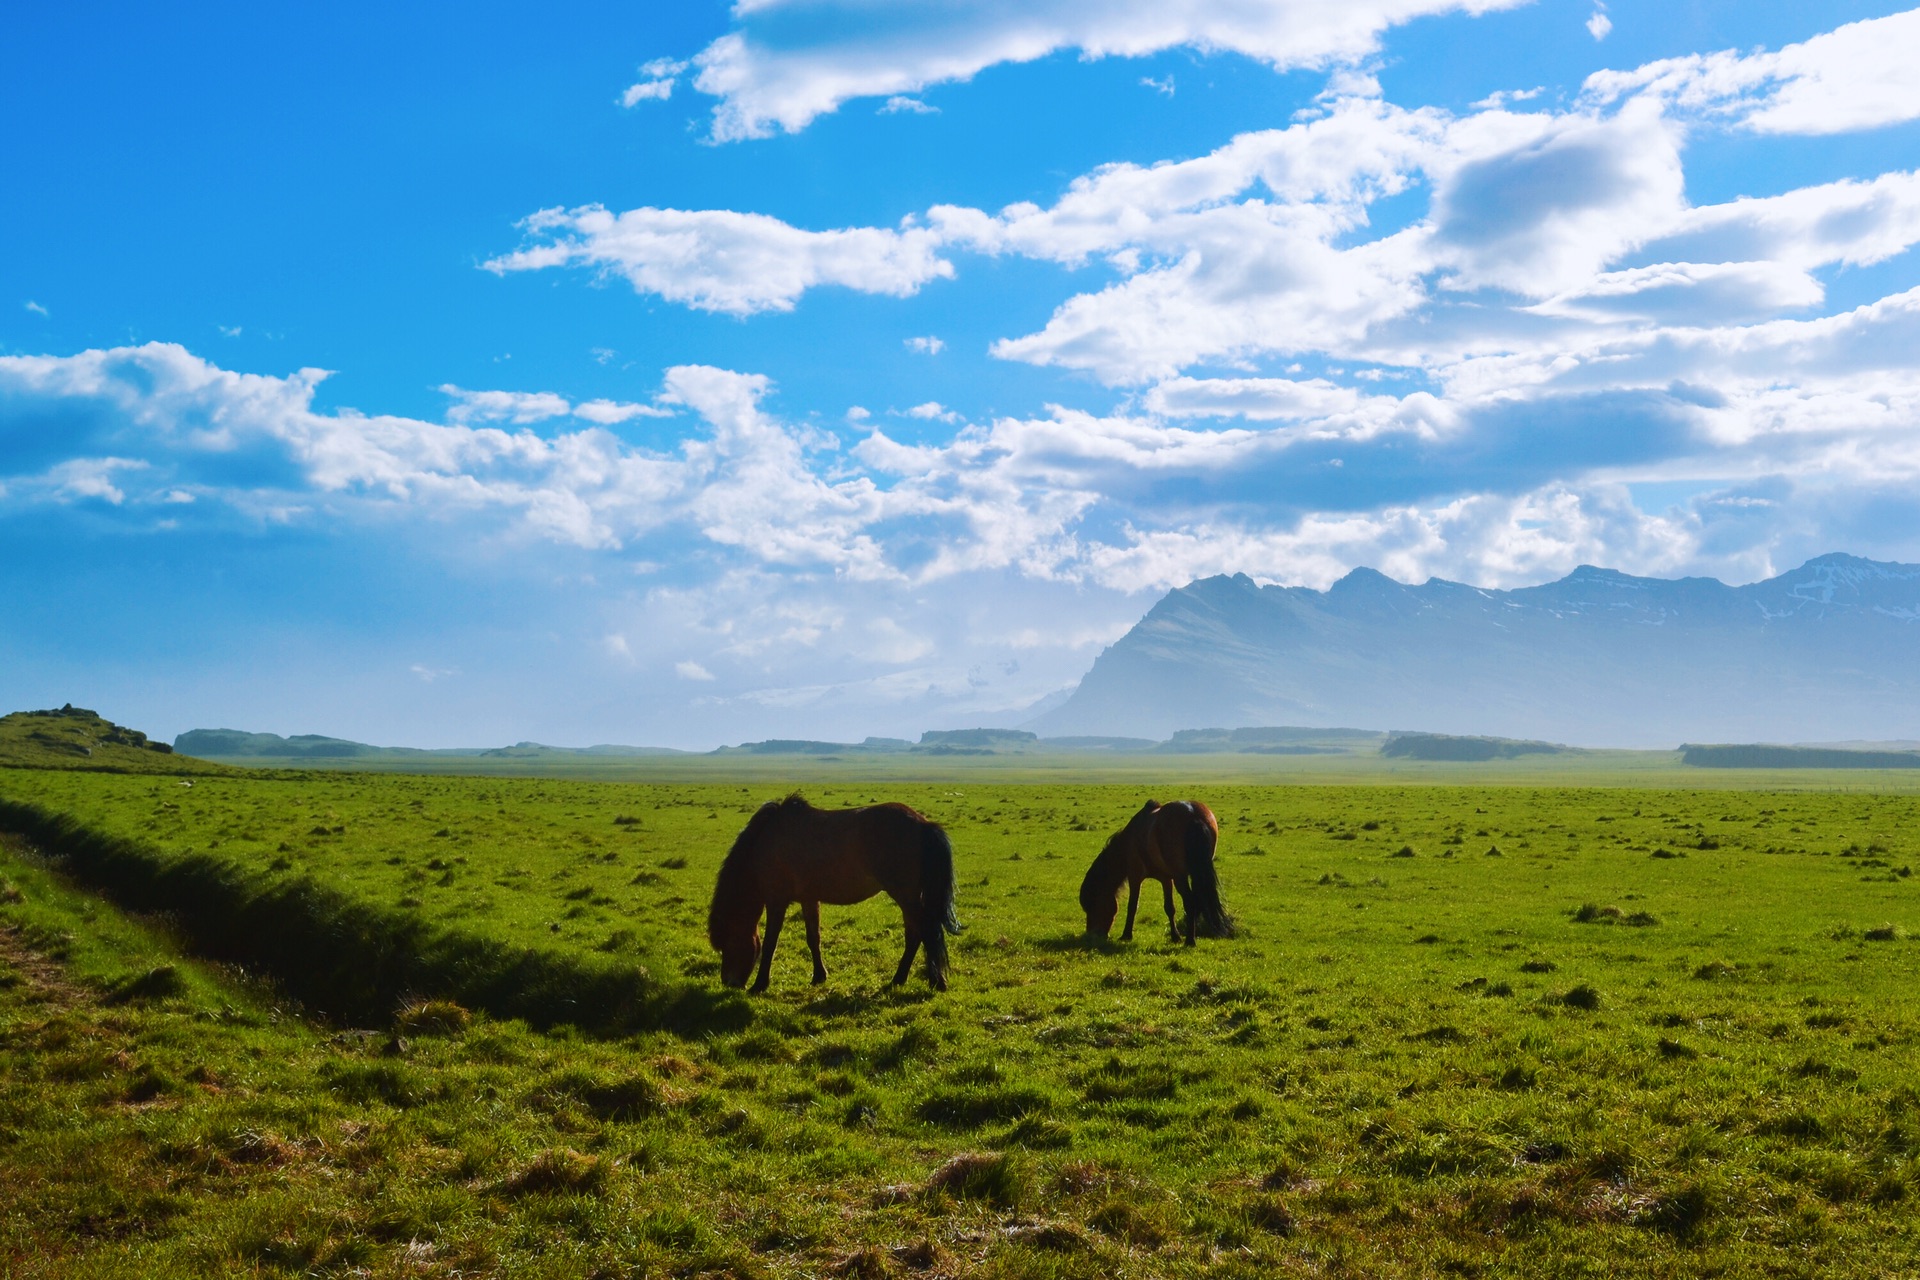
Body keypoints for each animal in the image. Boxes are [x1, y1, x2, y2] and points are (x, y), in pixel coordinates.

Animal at [706, 794, 960, 997]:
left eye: (729, 941)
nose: (729, 982)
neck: (766, 843)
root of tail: (924, 824)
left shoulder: (777, 901)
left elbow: (770, 943)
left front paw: (760, 984)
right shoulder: (809, 899)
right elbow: (813, 938)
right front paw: (819, 975)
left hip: (905, 895)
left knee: (926, 931)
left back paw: (935, 981)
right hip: (909, 896)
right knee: (916, 934)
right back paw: (900, 979)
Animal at [1082, 794, 1228, 948]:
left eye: (1092, 906)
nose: (1092, 934)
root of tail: (1193, 815)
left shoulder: (1135, 876)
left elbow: (1132, 905)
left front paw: (1126, 935)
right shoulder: (1166, 879)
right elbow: (1169, 908)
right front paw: (1175, 936)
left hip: (1180, 876)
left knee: (1190, 901)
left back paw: (1190, 940)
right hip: (1195, 875)